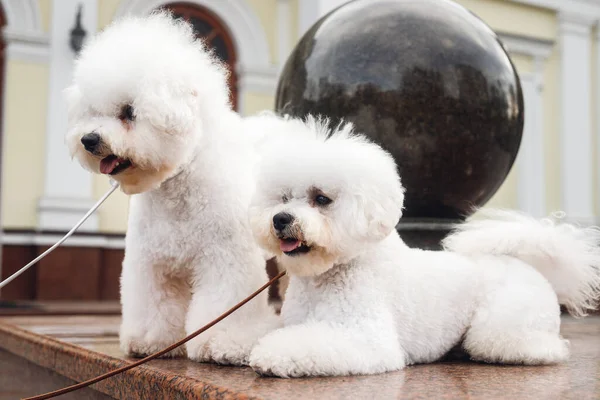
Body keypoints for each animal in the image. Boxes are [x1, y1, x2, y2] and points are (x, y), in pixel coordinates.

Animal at [67, 12, 278, 364]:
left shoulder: (226, 258)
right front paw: (151, 342)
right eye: (93, 111)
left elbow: (223, 303)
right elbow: (154, 303)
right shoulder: (152, 262)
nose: (89, 139)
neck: (178, 186)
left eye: (129, 112)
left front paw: (219, 343)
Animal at [246, 116, 600, 378]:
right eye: (282, 197)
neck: (334, 271)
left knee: (535, 346)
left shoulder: (366, 337)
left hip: (502, 326)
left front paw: (272, 354)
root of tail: (532, 267)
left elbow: (312, 344)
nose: (280, 219)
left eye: (321, 198)